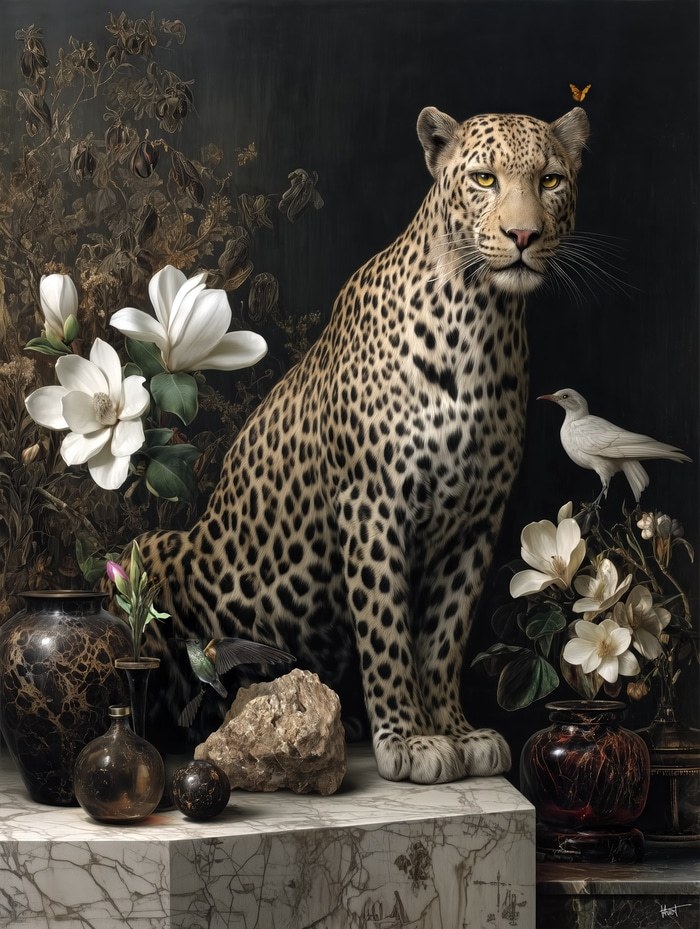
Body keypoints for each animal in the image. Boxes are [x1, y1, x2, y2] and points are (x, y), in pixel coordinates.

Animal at [137, 105, 590, 784]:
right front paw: (409, 739)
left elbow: (444, 637)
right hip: (151, 553)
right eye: (484, 179)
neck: (483, 321)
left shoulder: (477, 523)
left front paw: (456, 731)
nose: (523, 235)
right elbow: (387, 629)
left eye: (552, 180)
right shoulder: (373, 504)